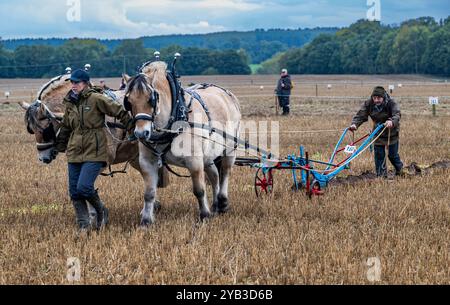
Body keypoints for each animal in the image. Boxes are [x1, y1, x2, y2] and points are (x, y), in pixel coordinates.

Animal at [123, 61, 243, 224]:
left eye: (151, 99)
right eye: (129, 102)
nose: (141, 133)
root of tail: (228, 94)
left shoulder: (194, 161)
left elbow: (199, 190)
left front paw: (204, 216)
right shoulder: (148, 162)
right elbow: (149, 193)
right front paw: (146, 220)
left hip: (229, 149)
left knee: (225, 172)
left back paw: (223, 202)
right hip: (208, 156)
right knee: (214, 175)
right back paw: (216, 205)